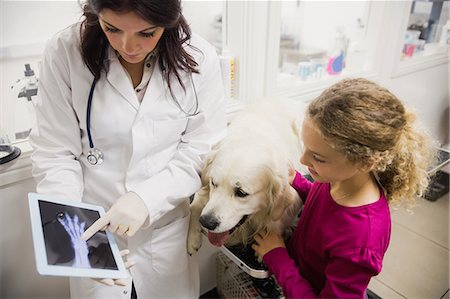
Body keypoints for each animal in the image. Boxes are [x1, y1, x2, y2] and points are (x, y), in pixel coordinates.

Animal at [186, 98, 306, 255]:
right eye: (213, 183)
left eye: (241, 193)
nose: (206, 222)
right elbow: (195, 205)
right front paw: (192, 239)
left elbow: (274, 224)